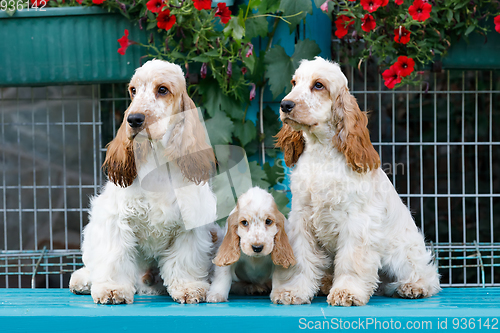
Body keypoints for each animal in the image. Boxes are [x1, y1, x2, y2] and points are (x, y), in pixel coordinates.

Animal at [69, 59, 218, 304]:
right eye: (133, 90)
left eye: (162, 90)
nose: (133, 119)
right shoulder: (116, 219)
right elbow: (114, 258)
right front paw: (112, 290)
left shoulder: (190, 224)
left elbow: (184, 261)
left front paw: (188, 288)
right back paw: (83, 280)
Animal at [272, 57, 440, 306]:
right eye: (294, 82)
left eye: (318, 85)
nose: (285, 105)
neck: (321, 151)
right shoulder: (301, 216)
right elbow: (301, 259)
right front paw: (293, 291)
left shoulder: (357, 221)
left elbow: (351, 262)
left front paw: (346, 292)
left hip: (402, 253)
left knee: (426, 274)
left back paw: (414, 287)